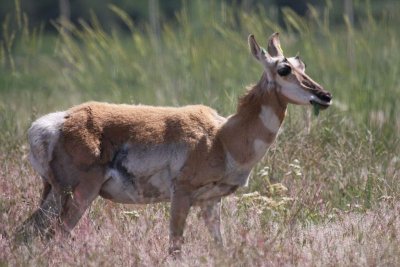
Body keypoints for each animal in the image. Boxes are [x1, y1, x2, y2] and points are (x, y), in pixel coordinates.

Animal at [18, 33, 332, 255]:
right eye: (283, 69)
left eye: (302, 64)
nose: (326, 95)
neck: (221, 138)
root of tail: (54, 122)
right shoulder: (181, 194)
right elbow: (175, 247)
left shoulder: (210, 202)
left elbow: (220, 247)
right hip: (80, 192)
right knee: (55, 234)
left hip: (54, 193)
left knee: (29, 231)